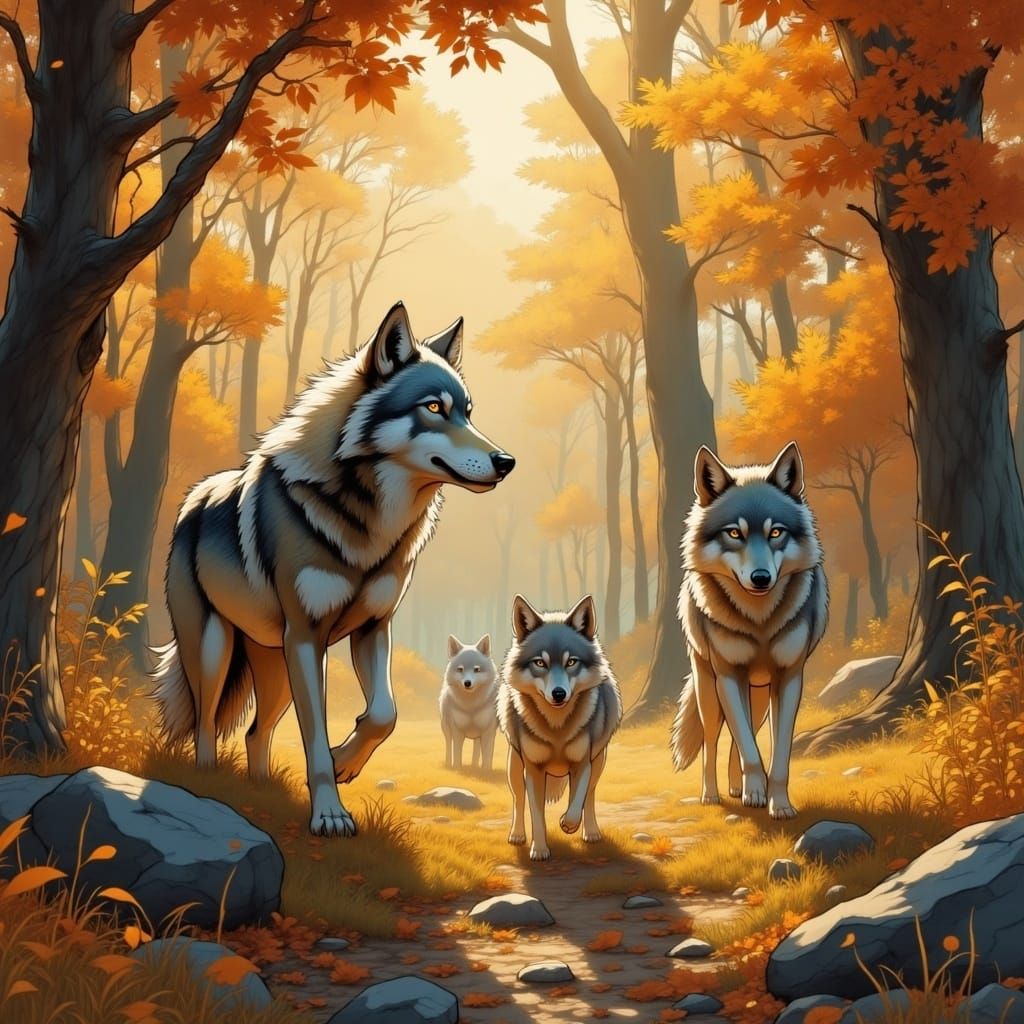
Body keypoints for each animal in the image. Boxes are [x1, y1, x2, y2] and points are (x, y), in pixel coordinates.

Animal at [439, 634, 499, 771]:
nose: (467, 683)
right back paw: (448, 765)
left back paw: (474, 767)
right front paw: (457, 770)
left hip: (478, 736)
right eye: (460, 669)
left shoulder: (488, 732)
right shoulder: (457, 731)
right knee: (448, 746)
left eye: (476, 669)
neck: (471, 706)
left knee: (477, 750)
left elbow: (487, 756)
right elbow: (456, 754)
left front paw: (485, 772)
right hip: (446, 729)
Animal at [498, 595, 622, 861]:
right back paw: (517, 835)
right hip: (514, 766)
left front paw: (568, 824)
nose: (558, 694)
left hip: (599, 762)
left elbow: (578, 800)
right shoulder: (533, 769)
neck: (557, 729)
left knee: (590, 795)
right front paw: (539, 849)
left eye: (571, 661)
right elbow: (536, 813)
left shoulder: (583, 762)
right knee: (518, 800)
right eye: (540, 662)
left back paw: (591, 832)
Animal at [671, 442, 827, 820]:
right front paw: (756, 793)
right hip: (709, 688)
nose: (760, 578)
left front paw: (778, 803)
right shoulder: (728, 675)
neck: (759, 623)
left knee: (741, 739)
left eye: (776, 532)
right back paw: (712, 794)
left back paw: (737, 787)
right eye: (734, 533)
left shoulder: (790, 678)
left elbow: (776, 755)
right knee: (714, 741)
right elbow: (748, 750)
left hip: (758, 695)